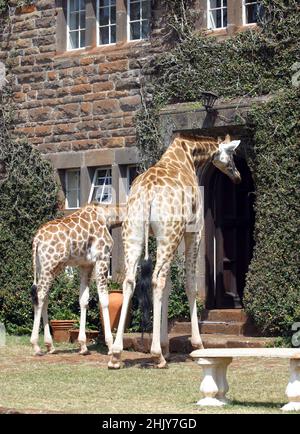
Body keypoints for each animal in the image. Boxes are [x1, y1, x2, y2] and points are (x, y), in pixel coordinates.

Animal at [30, 203, 124, 356]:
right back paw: (36, 346)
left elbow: (83, 300)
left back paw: (50, 346)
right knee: (40, 296)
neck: (108, 216)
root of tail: (36, 240)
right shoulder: (102, 259)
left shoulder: (85, 265)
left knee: (44, 298)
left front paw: (83, 346)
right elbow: (104, 300)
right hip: (50, 266)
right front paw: (110, 346)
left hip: (44, 268)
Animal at [108, 133, 241, 370]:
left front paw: (166, 346)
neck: (188, 155)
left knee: (131, 281)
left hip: (135, 233)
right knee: (156, 279)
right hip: (169, 233)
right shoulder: (193, 231)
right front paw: (196, 345)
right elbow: (189, 284)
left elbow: (169, 286)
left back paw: (116, 355)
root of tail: (147, 193)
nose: (238, 177)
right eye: (233, 154)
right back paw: (156, 355)